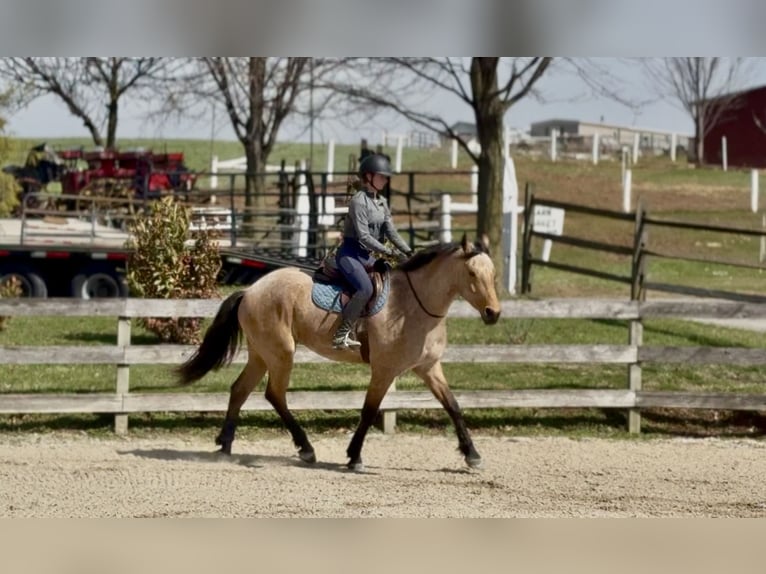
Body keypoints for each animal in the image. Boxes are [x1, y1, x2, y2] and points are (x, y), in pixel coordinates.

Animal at [177, 234, 501, 471]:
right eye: (471, 272)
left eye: (493, 273)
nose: (493, 313)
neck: (414, 305)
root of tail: (250, 291)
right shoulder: (384, 371)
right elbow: (369, 410)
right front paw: (354, 456)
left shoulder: (429, 368)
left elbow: (453, 406)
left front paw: (472, 454)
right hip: (281, 353)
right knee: (275, 394)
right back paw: (306, 449)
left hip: (261, 354)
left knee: (240, 390)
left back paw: (225, 444)